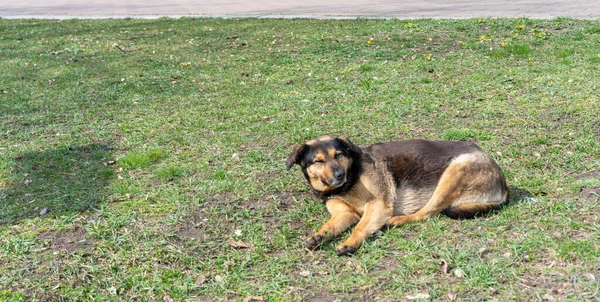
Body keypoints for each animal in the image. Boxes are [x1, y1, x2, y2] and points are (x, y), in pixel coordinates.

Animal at [286, 134, 506, 255]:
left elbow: (360, 227)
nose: (339, 175)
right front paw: (319, 236)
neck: (347, 182)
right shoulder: (345, 213)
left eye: (338, 155)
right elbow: (330, 225)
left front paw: (349, 243)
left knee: (427, 212)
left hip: (453, 172)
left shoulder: (377, 206)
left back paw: (397, 220)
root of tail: (503, 185)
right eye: (318, 161)